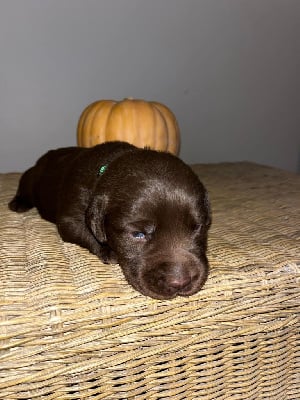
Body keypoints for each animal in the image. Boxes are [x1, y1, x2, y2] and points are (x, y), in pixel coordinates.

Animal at [9, 142, 211, 298]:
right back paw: (17, 204)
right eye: (138, 234)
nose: (180, 283)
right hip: (30, 177)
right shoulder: (69, 219)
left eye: (198, 227)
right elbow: (86, 233)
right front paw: (108, 250)